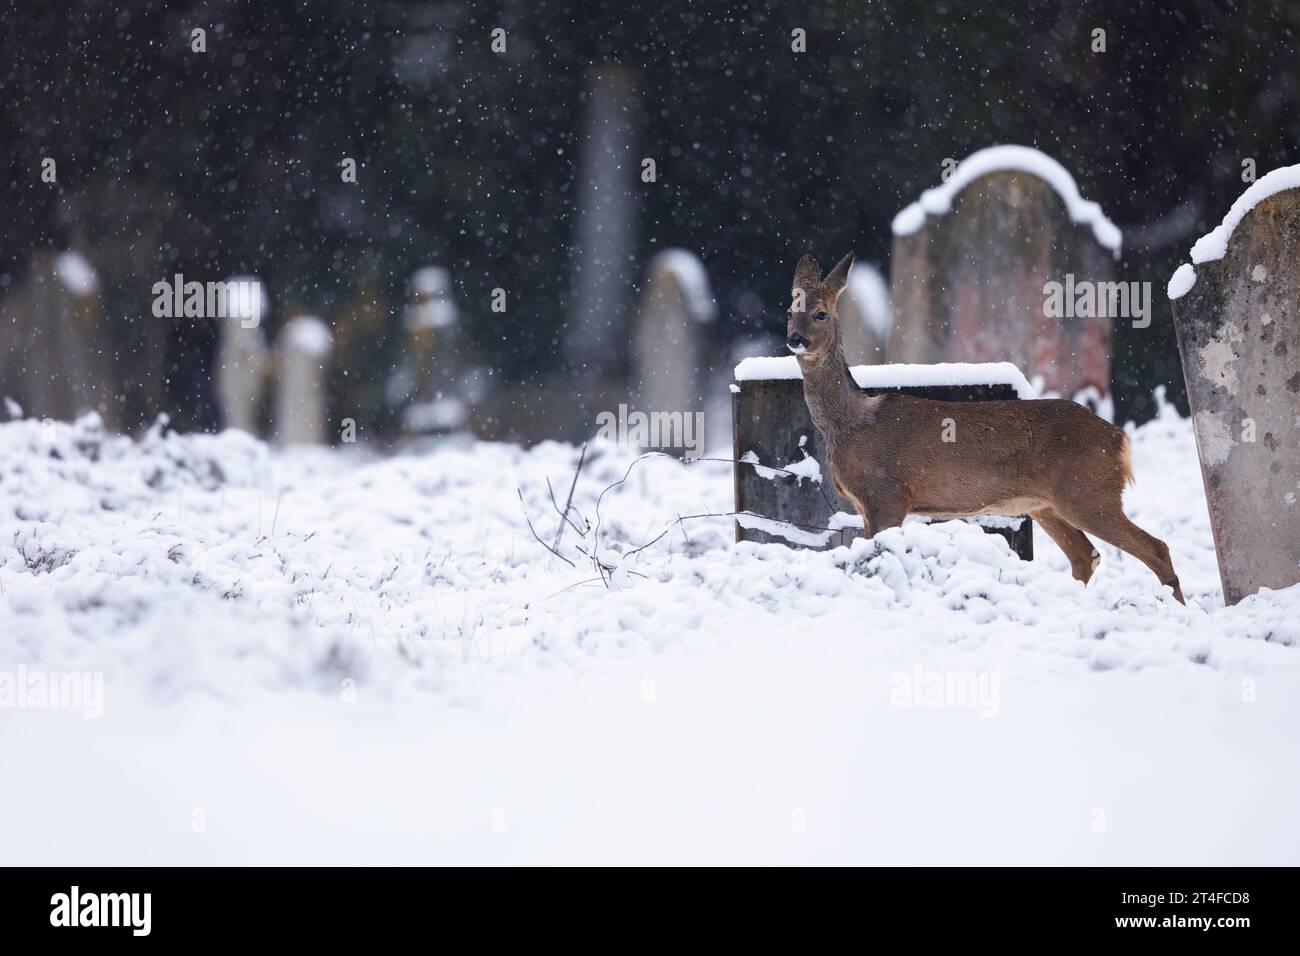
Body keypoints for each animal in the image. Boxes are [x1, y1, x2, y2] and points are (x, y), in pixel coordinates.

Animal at [785, 251, 1185, 600]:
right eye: (790, 311)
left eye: (821, 313)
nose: (795, 339)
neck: (850, 423)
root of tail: (1120, 439)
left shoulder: (888, 494)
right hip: (1046, 504)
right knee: (1086, 557)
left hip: (1088, 491)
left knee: (1157, 548)